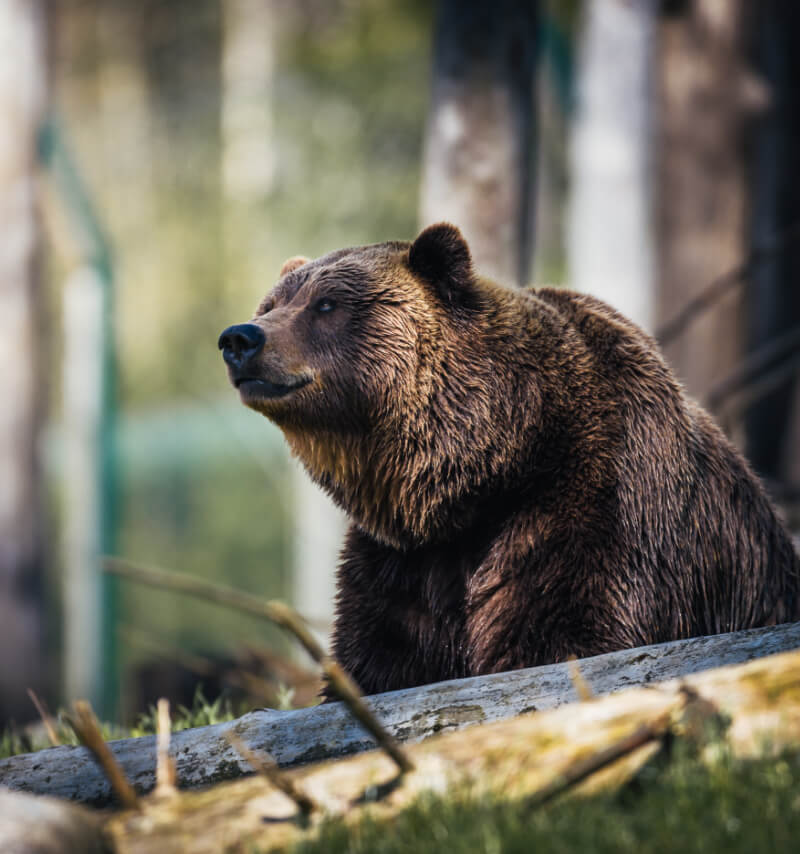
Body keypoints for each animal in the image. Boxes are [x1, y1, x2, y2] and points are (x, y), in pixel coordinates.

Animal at [219, 224, 800, 700]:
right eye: (272, 303)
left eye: (327, 304)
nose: (240, 337)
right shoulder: (403, 562)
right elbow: (379, 658)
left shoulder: (596, 506)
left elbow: (563, 633)